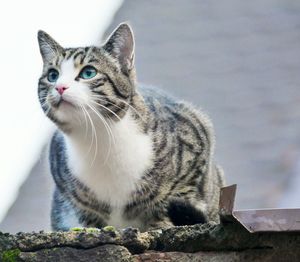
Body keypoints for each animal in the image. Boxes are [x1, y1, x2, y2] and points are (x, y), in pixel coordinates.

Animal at [37, 22, 224, 231]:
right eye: (52, 75)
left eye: (88, 72)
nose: (59, 87)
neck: (99, 138)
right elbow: (86, 213)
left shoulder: (196, 136)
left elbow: (174, 199)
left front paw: (161, 222)